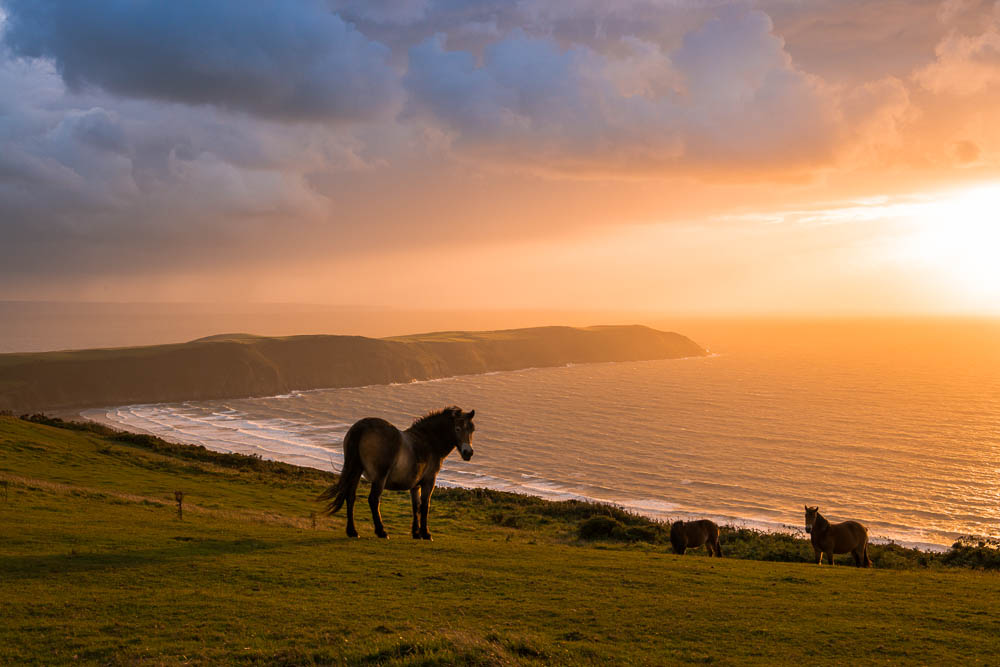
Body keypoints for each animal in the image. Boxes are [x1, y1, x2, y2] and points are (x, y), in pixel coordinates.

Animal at [320, 408, 476, 544]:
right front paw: (426, 534)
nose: (468, 452)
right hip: (379, 477)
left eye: (471, 430)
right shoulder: (429, 482)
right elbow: (425, 506)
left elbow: (416, 507)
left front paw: (416, 533)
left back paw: (352, 531)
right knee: (373, 500)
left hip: (356, 470)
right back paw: (381, 532)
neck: (428, 442)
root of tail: (363, 427)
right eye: (458, 428)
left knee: (350, 497)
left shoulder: (415, 486)